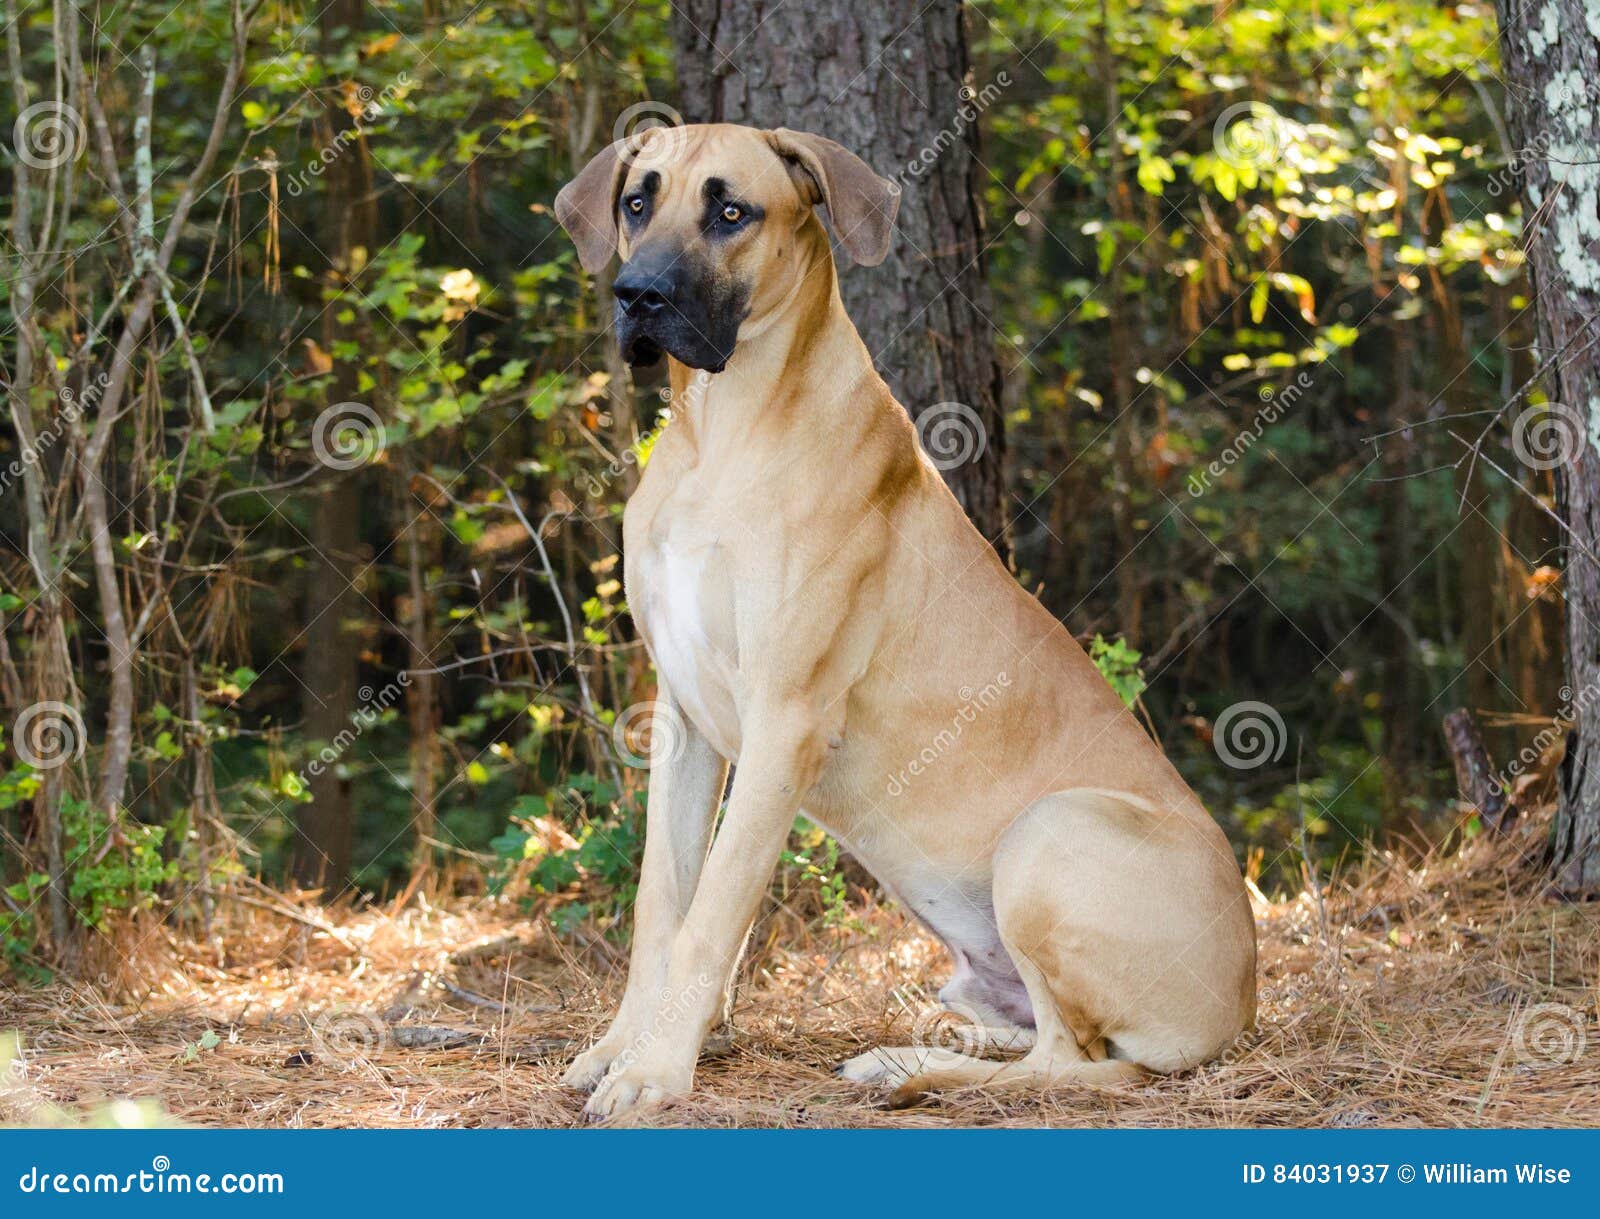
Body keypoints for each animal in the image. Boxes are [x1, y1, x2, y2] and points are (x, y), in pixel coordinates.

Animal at [556, 120, 1254, 1113]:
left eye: (731, 212)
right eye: (637, 201)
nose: (638, 295)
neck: (719, 430)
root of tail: (1246, 1000)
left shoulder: (785, 719)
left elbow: (712, 913)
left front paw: (655, 1072)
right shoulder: (684, 719)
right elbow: (663, 902)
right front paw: (619, 1047)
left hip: (1050, 830)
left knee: (1065, 1062)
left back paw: (903, 1071)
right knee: (1036, 1035)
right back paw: (920, 1047)